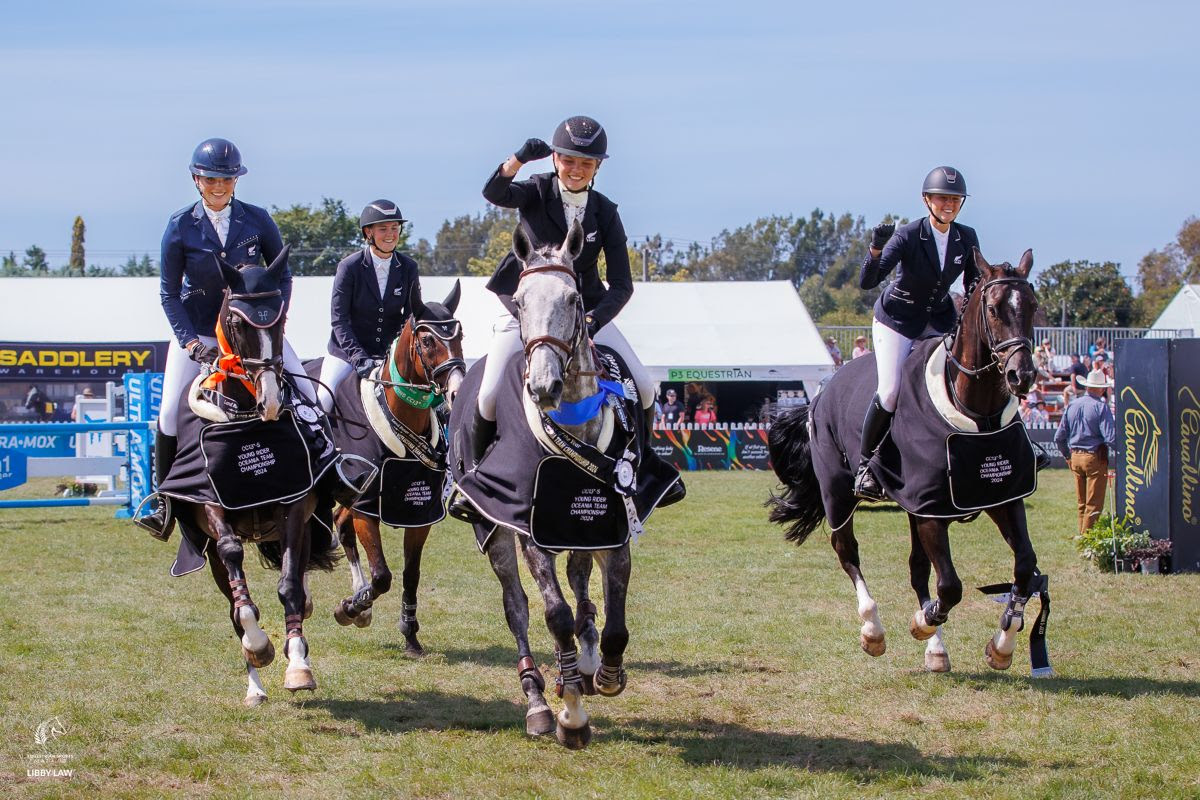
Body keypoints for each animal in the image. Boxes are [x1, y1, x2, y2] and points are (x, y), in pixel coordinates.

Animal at [153, 247, 342, 706]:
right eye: (238, 323)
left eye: (281, 321)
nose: (271, 399)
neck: (244, 418)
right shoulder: (209, 505)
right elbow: (237, 580)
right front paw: (259, 646)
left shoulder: (295, 505)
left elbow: (289, 585)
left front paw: (298, 665)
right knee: (232, 602)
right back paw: (254, 684)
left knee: (298, 578)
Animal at [321, 283, 466, 656]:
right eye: (427, 340)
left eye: (460, 336)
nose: (456, 392)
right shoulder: (366, 508)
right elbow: (382, 575)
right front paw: (349, 608)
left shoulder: (420, 511)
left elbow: (410, 574)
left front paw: (409, 633)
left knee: (340, 524)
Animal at [448, 221, 668, 749]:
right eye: (519, 300)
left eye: (574, 298)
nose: (543, 387)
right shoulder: (529, 530)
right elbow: (555, 616)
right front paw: (571, 715)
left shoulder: (611, 522)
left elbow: (613, 620)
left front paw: (606, 673)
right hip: (495, 530)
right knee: (518, 609)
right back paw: (537, 700)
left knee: (580, 581)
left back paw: (586, 662)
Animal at [768, 248, 1043, 674]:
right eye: (994, 308)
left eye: (1032, 305)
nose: (1021, 375)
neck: (976, 413)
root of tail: (821, 394)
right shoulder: (930, 511)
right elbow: (950, 586)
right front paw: (921, 623)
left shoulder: (1000, 498)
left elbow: (1025, 568)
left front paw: (1003, 644)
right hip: (838, 495)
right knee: (847, 552)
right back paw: (874, 631)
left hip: (911, 507)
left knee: (917, 569)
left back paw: (936, 650)